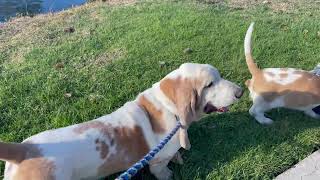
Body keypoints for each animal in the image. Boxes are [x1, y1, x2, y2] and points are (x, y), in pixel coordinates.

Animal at [0, 63, 242, 180]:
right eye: (209, 84)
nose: (240, 92)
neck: (167, 106)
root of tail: (22, 150)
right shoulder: (157, 161)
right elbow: (161, 170)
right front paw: (170, 173)